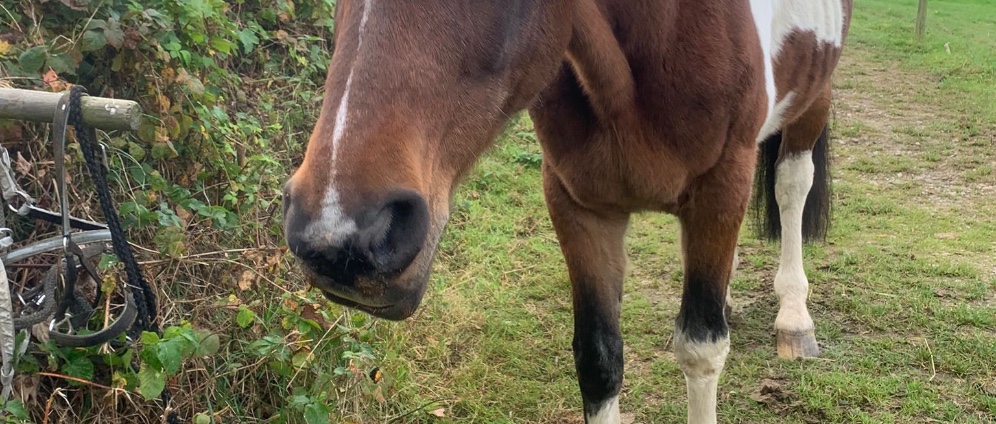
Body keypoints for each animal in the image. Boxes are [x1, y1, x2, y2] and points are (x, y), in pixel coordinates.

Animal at [282, 1, 852, 422]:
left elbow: (701, 347)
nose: (340, 234)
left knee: (792, 187)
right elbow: (598, 359)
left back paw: (794, 317)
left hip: (814, 99)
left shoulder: (722, 186)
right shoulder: (578, 207)